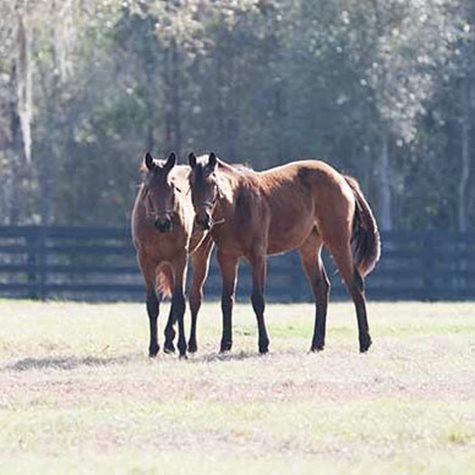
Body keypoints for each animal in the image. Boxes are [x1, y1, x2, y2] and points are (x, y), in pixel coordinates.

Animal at [130, 152, 212, 356]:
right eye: (149, 188)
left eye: (172, 189)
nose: (163, 223)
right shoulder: (145, 260)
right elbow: (153, 303)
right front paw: (153, 347)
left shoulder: (179, 258)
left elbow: (180, 301)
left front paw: (182, 347)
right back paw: (168, 340)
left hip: (199, 254)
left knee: (193, 297)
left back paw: (190, 344)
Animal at [188, 152, 382, 354]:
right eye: (191, 183)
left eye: (213, 183)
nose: (202, 220)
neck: (237, 203)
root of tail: (341, 178)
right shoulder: (227, 257)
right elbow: (227, 300)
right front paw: (225, 345)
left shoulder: (258, 256)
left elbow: (258, 300)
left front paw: (263, 344)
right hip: (309, 249)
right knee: (321, 287)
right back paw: (317, 343)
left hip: (338, 243)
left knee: (354, 283)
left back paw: (364, 342)